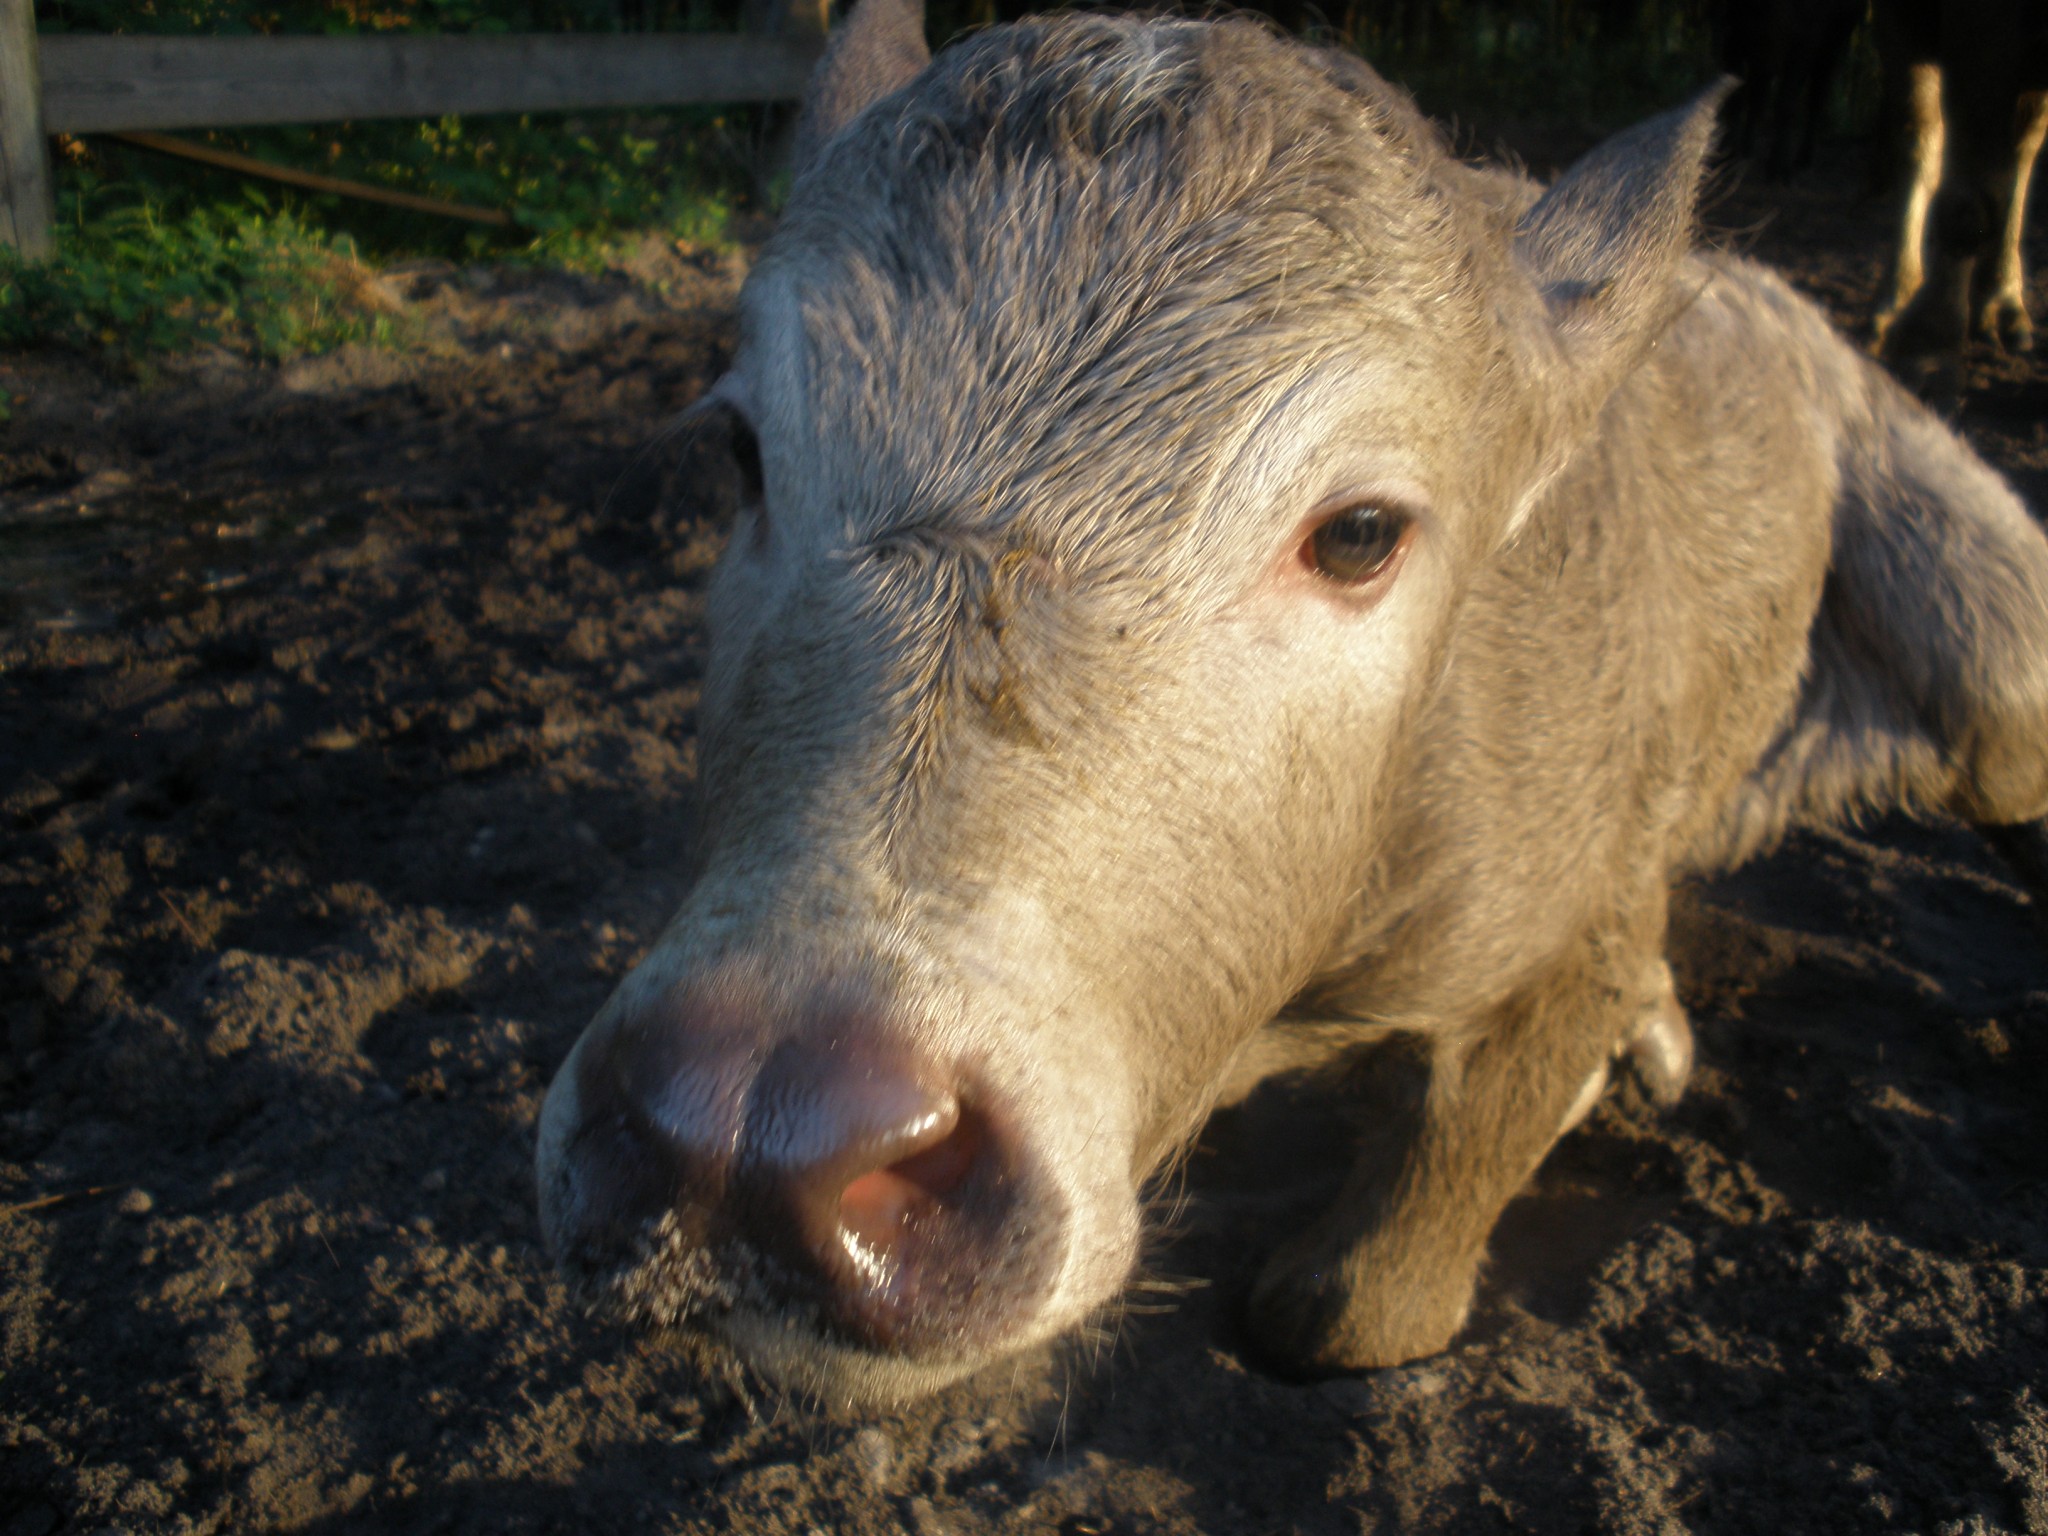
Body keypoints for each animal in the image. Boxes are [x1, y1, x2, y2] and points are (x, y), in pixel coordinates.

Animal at [536, 0, 2048, 1408]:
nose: (752, 1129)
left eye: (1362, 532)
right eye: (744, 452)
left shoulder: (1564, 931)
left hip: (2003, 678)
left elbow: (1343, 1314)